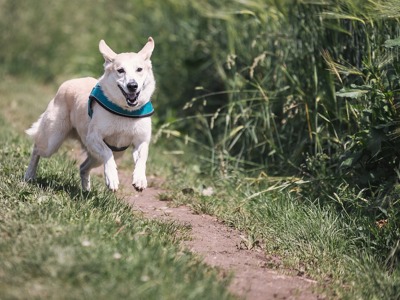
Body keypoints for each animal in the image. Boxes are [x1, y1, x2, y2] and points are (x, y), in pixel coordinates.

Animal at [24, 38, 156, 192]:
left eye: (139, 69)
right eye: (120, 70)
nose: (132, 86)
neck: (125, 111)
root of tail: (68, 82)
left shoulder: (141, 141)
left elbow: (142, 158)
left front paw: (140, 179)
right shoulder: (93, 137)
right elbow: (107, 153)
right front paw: (112, 178)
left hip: (105, 155)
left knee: (83, 167)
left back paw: (86, 190)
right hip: (52, 141)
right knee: (36, 149)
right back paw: (29, 176)